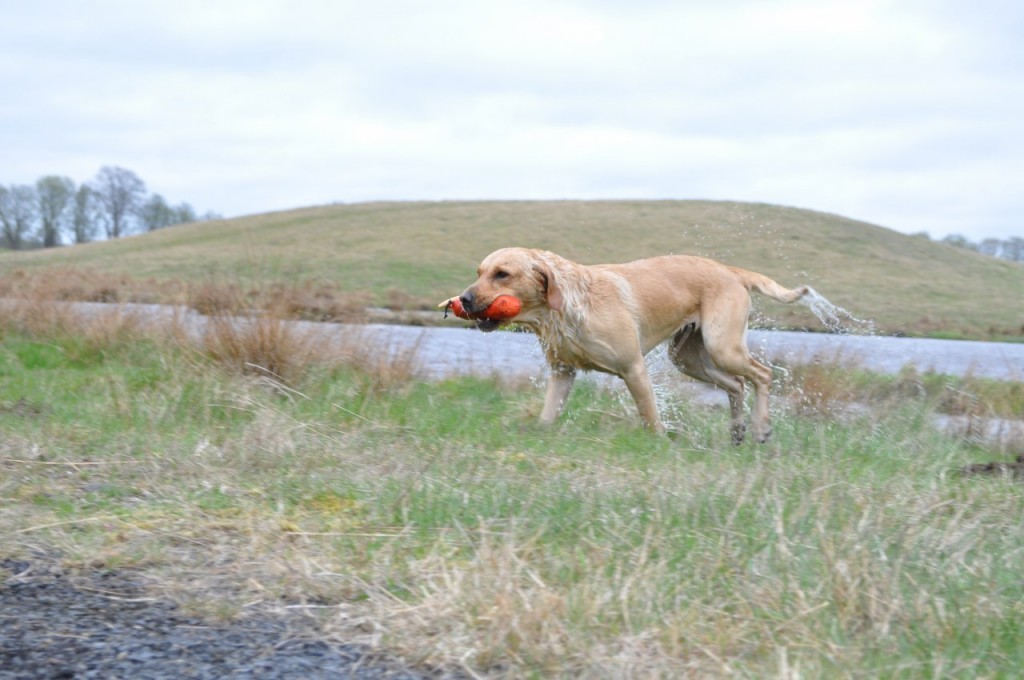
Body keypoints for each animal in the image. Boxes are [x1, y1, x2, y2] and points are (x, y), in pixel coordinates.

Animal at [460, 246, 811, 444]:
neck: (564, 309)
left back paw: (761, 427)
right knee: (737, 384)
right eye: (479, 272)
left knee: (762, 374)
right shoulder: (563, 371)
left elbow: (650, 415)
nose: (463, 299)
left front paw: (659, 443)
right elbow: (549, 413)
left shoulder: (633, 368)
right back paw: (737, 432)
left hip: (722, 346)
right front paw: (539, 434)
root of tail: (731, 271)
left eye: (502, 274)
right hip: (687, 357)